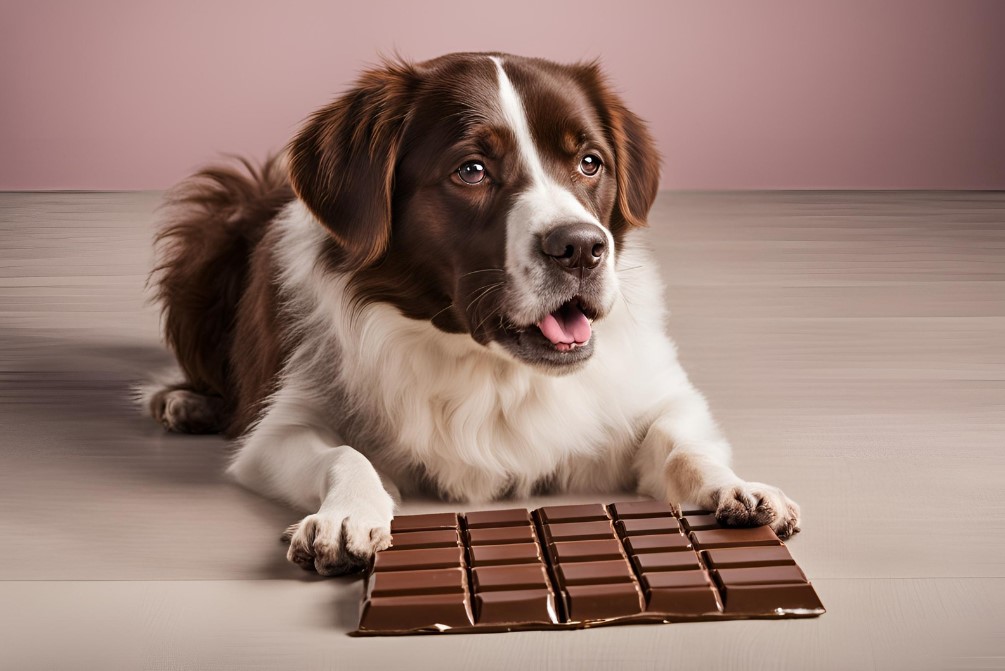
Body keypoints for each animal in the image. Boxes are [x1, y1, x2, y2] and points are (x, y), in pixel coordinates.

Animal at [141, 52, 799, 578]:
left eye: (590, 163)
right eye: (472, 171)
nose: (582, 247)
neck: (493, 366)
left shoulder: (652, 397)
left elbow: (683, 445)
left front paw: (736, 486)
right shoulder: (279, 430)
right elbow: (343, 454)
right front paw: (347, 514)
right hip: (209, 232)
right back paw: (185, 400)